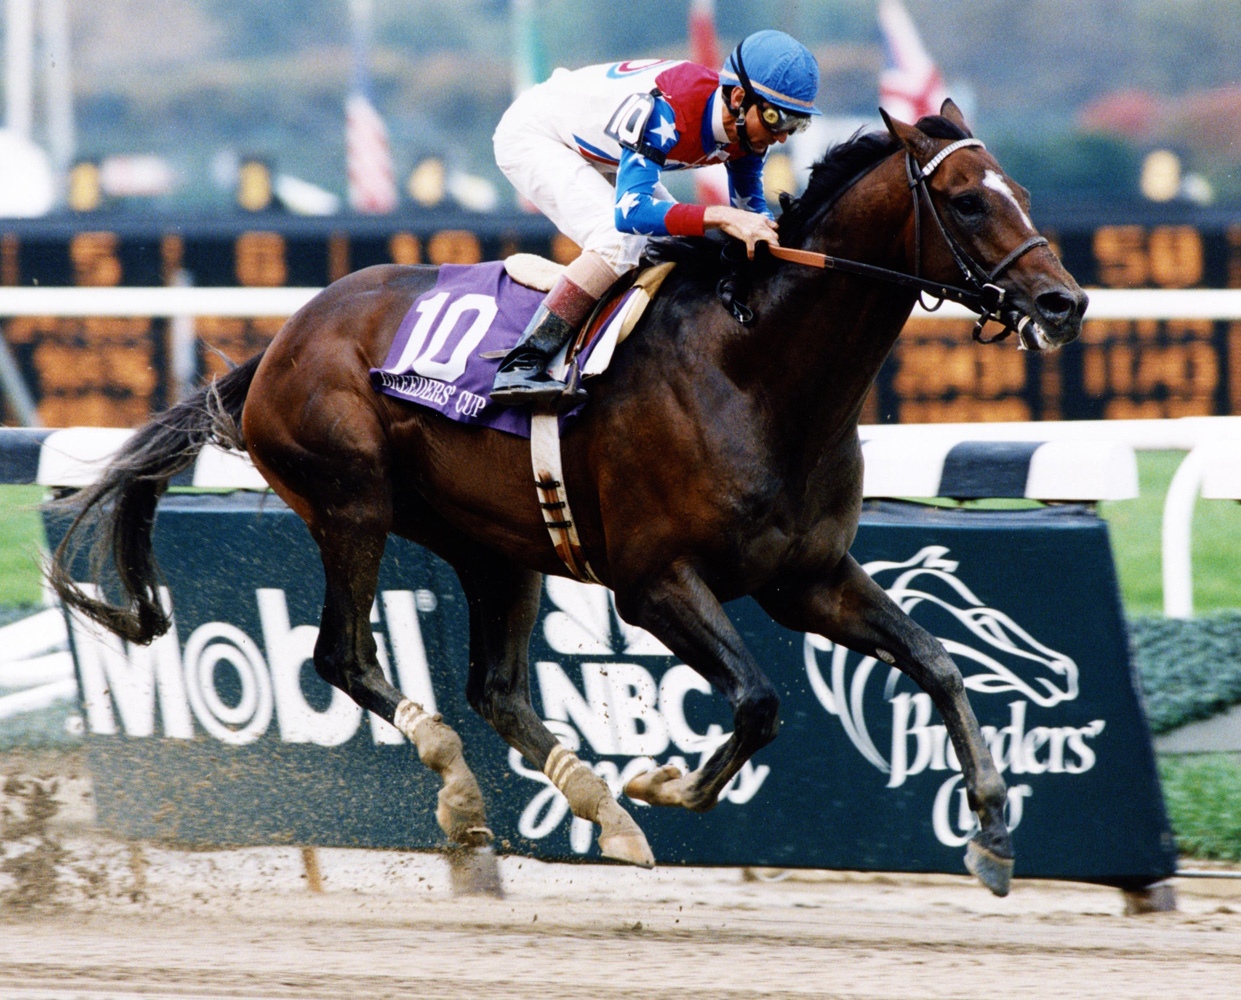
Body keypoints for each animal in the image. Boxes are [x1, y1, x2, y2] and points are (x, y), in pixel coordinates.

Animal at [48, 103, 1082, 898]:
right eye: (964, 200)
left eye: (1024, 196)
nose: (1063, 303)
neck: (755, 371)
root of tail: (284, 338)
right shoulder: (654, 583)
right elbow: (757, 701)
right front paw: (666, 783)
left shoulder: (808, 577)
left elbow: (937, 664)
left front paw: (993, 833)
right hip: (351, 505)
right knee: (343, 656)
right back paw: (469, 801)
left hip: (496, 547)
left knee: (495, 689)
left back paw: (595, 810)